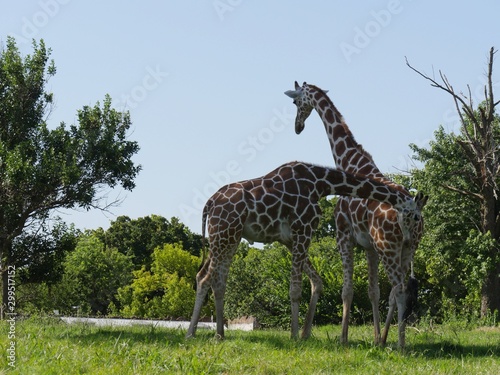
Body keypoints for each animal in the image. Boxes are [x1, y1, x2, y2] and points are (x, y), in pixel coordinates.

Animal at [186, 162, 416, 340]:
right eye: (412, 215)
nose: (409, 239)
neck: (321, 184)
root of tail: (209, 204)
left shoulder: (291, 237)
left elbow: (316, 281)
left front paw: (304, 333)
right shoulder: (303, 228)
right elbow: (296, 289)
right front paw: (295, 336)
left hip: (228, 237)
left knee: (212, 279)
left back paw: (217, 334)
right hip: (224, 234)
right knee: (207, 278)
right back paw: (193, 334)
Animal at [286, 82, 426, 350]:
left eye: (296, 102)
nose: (297, 127)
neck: (349, 162)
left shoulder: (343, 235)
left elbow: (347, 290)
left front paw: (343, 338)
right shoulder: (370, 247)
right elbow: (374, 291)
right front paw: (376, 339)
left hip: (389, 247)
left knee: (400, 289)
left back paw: (401, 345)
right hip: (408, 248)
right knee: (397, 291)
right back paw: (391, 339)